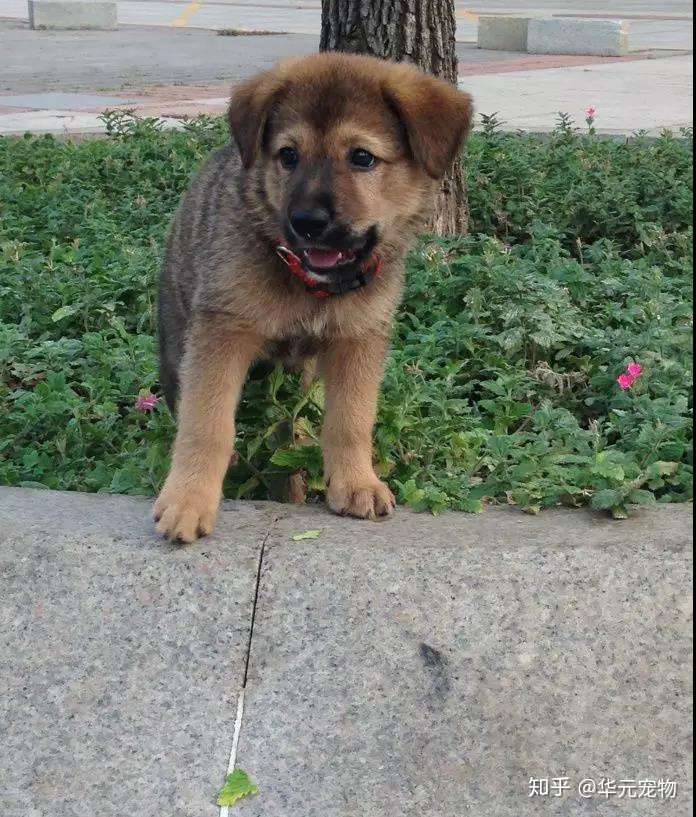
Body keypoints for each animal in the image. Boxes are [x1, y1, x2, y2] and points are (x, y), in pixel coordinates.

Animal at [156, 49, 476, 536]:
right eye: (288, 155)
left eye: (362, 158)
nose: (307, 222)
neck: (310, 289)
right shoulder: (222, 334)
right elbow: (206, 423)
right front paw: (188, 499)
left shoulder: (359, 339)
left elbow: (351, 420)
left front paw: (357, 483)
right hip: (178, 345)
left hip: (298, 376)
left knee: (290, 428)